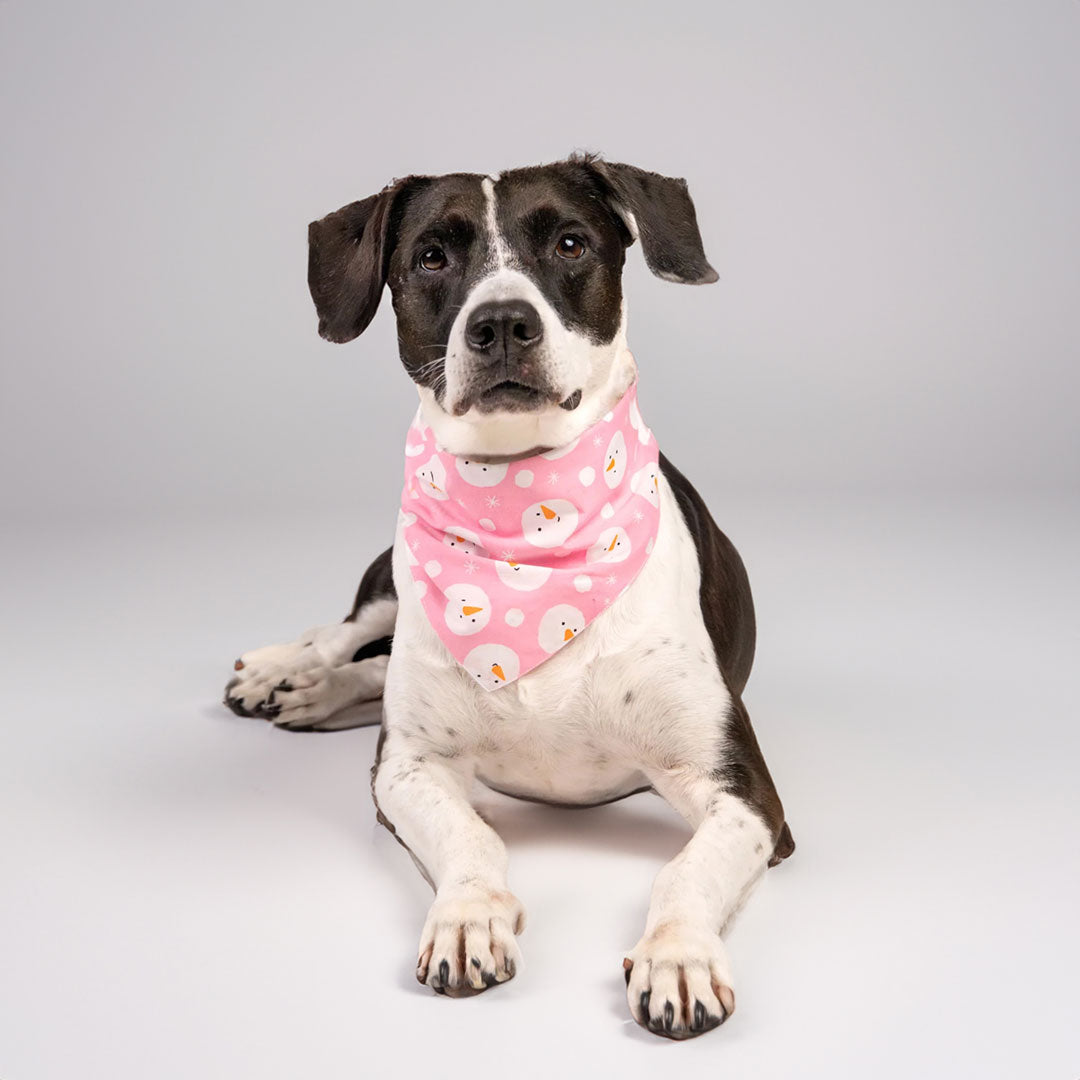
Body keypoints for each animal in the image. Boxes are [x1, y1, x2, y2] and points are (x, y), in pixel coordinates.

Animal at [223, 156, 794, 1041]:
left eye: (571, 242)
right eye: (430, 257)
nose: (500, 324)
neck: (528, 531)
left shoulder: (746, 796)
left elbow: (684, 872)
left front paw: (678, 956)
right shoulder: (407, 769)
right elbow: (473, 839)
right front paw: (468, 917)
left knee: (367, 666)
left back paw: (311, 694)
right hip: (391, 578)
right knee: (347, 632)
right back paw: (287, 673)